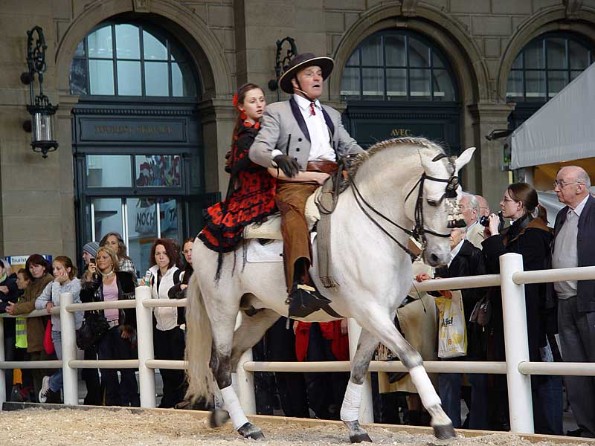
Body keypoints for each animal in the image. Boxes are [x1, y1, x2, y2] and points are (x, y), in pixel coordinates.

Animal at [186, 139, 474, 442]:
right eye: (431, 201)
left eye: (458, 199)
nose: (439, 256)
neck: (370, 228)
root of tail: (201, 237)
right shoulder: (369, 311)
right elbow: (410, 355)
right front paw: (441, 420)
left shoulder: (382, 314)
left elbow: (359, 367)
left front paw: (354, 425)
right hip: (223, 309)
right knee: (219, 364)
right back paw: (245, 425)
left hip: (260, 314)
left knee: (230, 360)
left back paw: (223, 414)